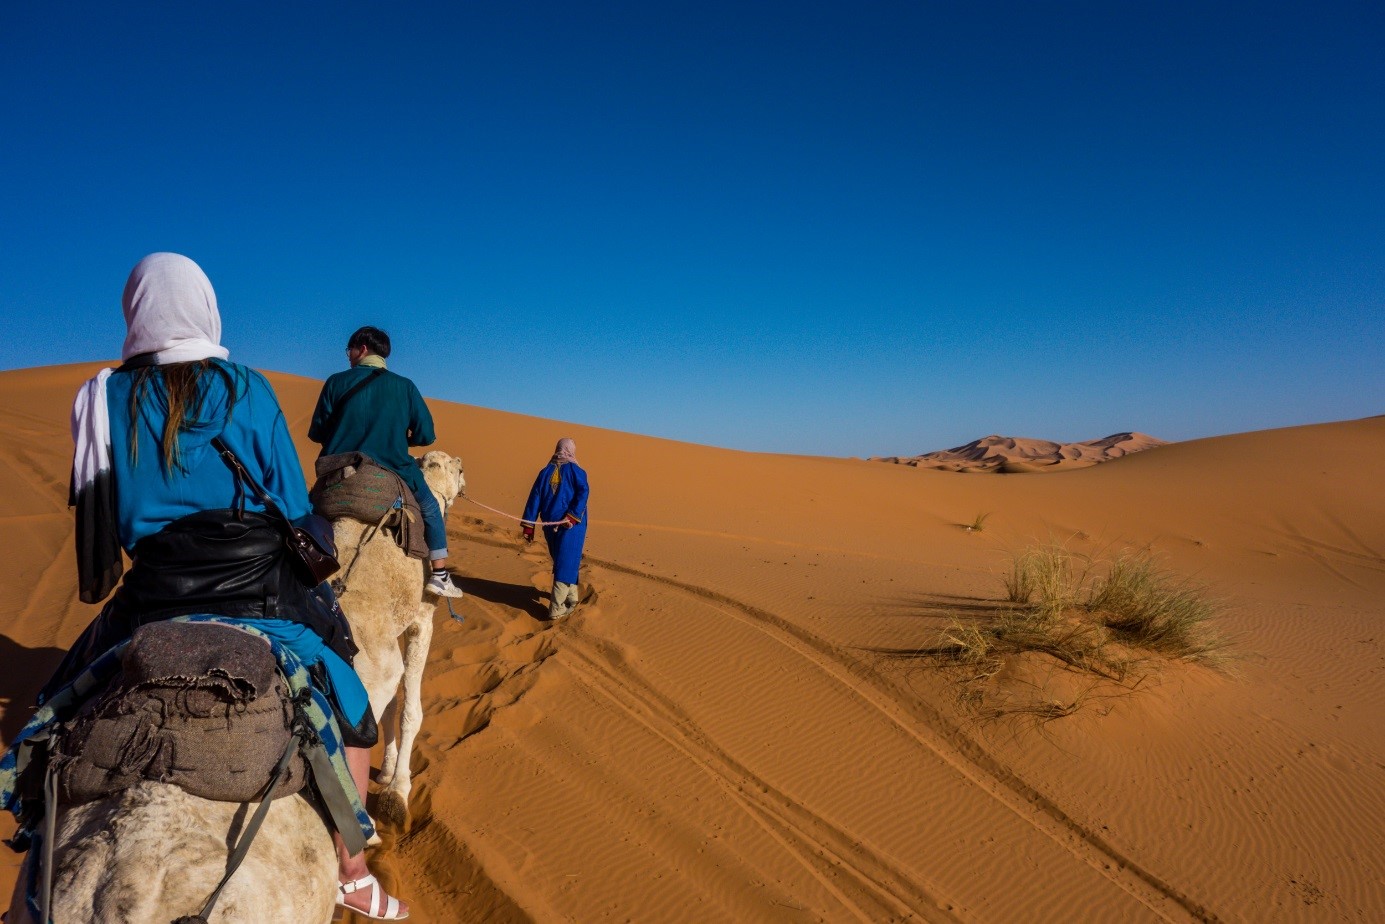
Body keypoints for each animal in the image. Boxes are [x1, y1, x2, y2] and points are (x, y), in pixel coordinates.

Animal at [329, 451, 465, 825]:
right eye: (459, 469)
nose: (464, 479)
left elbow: (392, 710)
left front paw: (387, 772)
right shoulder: (421, 620)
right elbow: (410, 712)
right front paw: (398, 792)